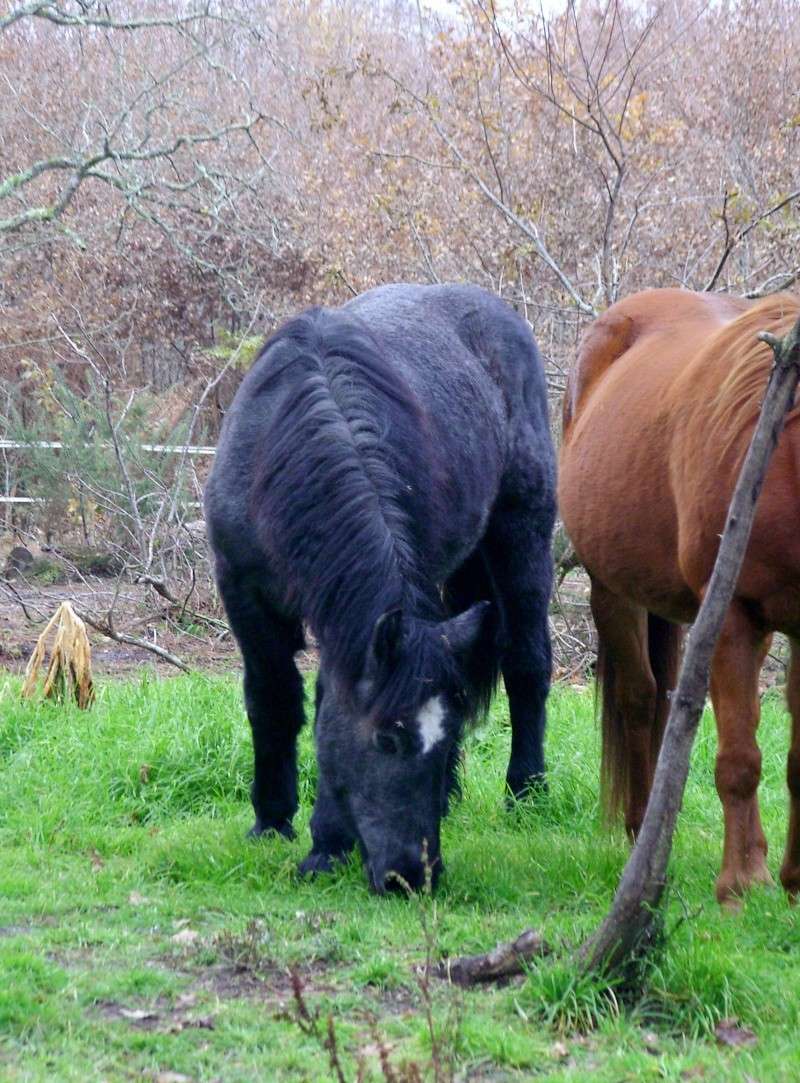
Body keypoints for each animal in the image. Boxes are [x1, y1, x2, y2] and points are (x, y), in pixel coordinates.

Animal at [204, 283, 558, 892]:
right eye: (387, 740)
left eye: (440, 744)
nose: (412, 876)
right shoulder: (244, 592)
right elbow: (272, 699)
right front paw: (272, 822)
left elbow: (326, 702)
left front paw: (326, 844)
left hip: (522, 536)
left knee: (527, 665)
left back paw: (526, 792)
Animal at [558, 288, 800, 905]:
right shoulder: (734, 617)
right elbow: (740, 758)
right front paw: (742, 884)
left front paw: (794, 880)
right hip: (612, 591)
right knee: (640, 699)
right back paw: (640, 832)